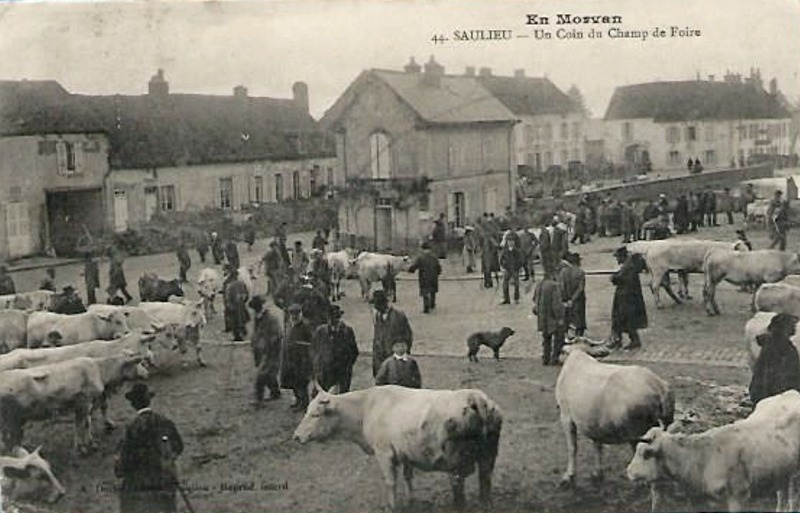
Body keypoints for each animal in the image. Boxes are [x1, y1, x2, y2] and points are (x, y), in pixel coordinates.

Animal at [294, 386, 504, 510]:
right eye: (307, 411)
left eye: (315, 414)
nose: (296, 437)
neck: (367, 407)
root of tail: (475, 397)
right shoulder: (406, 453)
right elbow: (408, 476)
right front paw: (411, 500)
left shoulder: (384, 453)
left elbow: (391, 482)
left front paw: (391, 506)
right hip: (488, 457)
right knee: (485, 481)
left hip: (456, 462)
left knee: (458, 485)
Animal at [628, 390, 800, 510]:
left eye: (646, 454)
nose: (628, 472)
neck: (706, 456)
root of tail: (791, 393)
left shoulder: (739, 495)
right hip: (781, 469)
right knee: (781, 493)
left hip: (794, 473)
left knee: (791, 496)